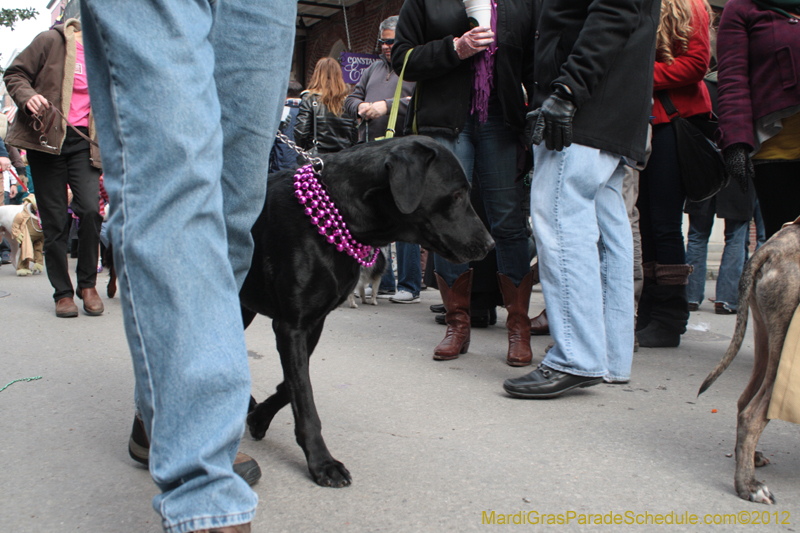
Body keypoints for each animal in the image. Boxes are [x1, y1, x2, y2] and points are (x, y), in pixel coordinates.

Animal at [241, 136, 490, 486]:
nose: (490, 244)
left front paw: (260, 417)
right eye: (456, 194)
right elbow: (303, 396)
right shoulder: (291, 325)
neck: (340, 212)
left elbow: (290, 387)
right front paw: (322, 462)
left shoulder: (311, 324)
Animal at [692, 219, 800, 502]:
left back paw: (751, 458)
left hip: (765, 340)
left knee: (744, 401)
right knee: (751, 416)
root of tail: (773, 248)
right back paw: (748, 485)